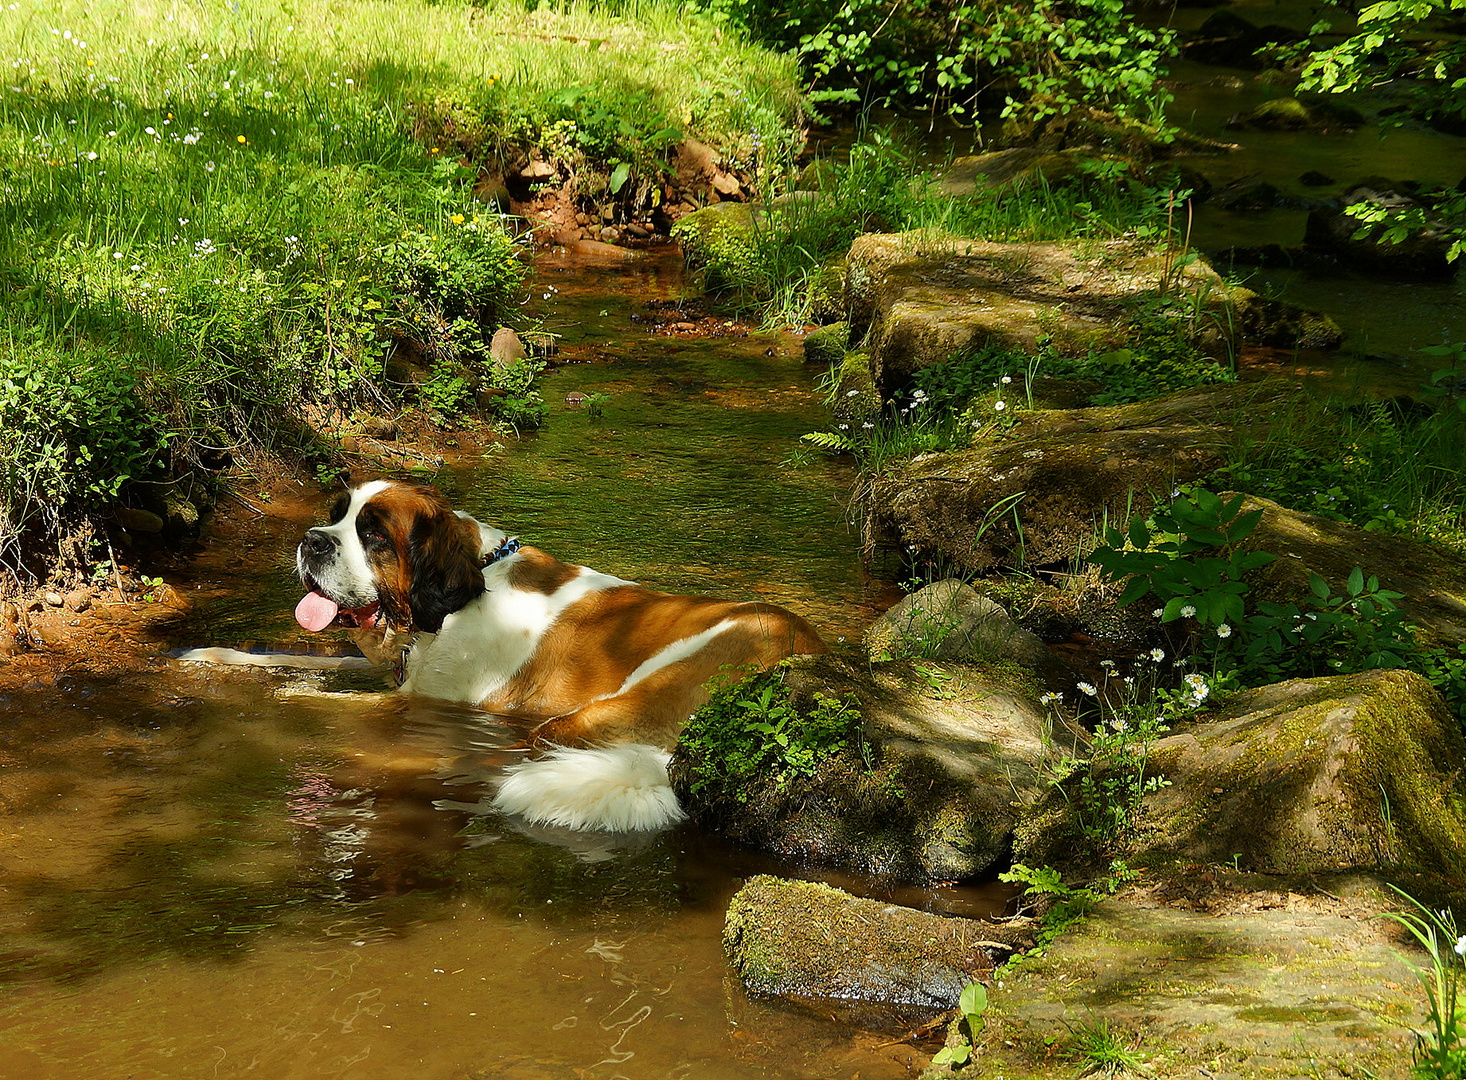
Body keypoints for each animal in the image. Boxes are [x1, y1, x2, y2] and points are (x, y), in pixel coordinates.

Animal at [291, 483, 832, 832]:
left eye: (375, 536)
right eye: (338, 516)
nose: (312, 539)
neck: (467, 592)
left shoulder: (433, 697)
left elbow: (333, 703)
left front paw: (295, 695)